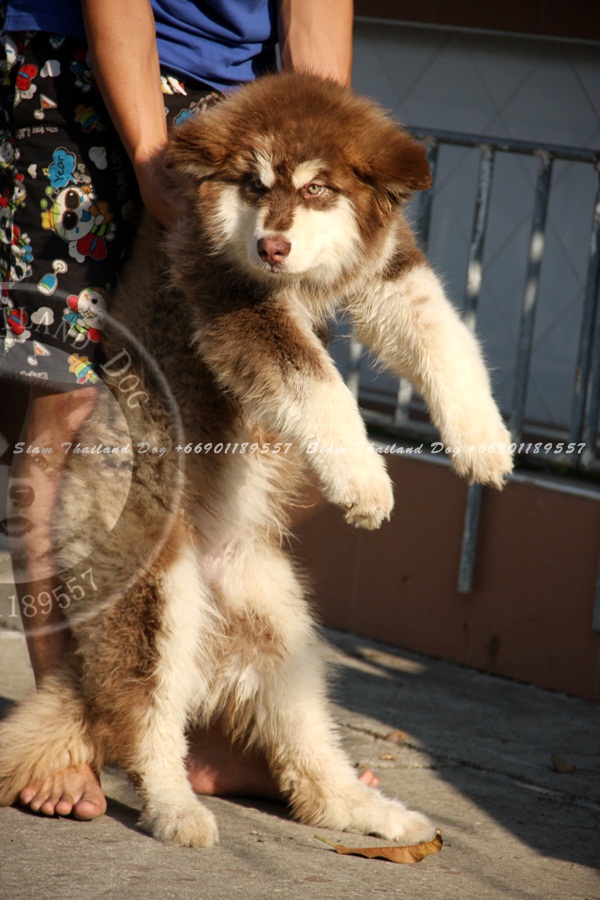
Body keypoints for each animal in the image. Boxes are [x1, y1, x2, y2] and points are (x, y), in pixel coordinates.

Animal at [0, 72, 512, 848]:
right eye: (253, 183)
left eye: (317, 189)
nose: (272, 246)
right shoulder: (235, 305)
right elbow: (318, 384)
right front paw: (365, 481)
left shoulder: (390, 269)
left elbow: (444, 337)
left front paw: (484, 441)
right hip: (157, 599)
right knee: (143, 724)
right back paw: (177, 808)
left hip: (283, 628)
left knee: (305, 751)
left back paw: (362, 809)